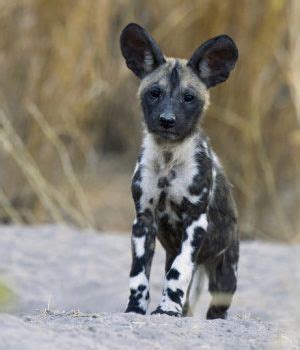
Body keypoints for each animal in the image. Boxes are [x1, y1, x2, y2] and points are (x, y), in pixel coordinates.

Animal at [119, 23, 239, 318]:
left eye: (188, 98)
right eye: (154, 93)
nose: (167, 120)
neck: (168, 157)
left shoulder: (195, 222)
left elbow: (178, 272)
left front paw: (166, 310)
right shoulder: (143, 221)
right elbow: (138, 275)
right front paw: (135, 309)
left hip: (224, 277)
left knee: (217, 308)